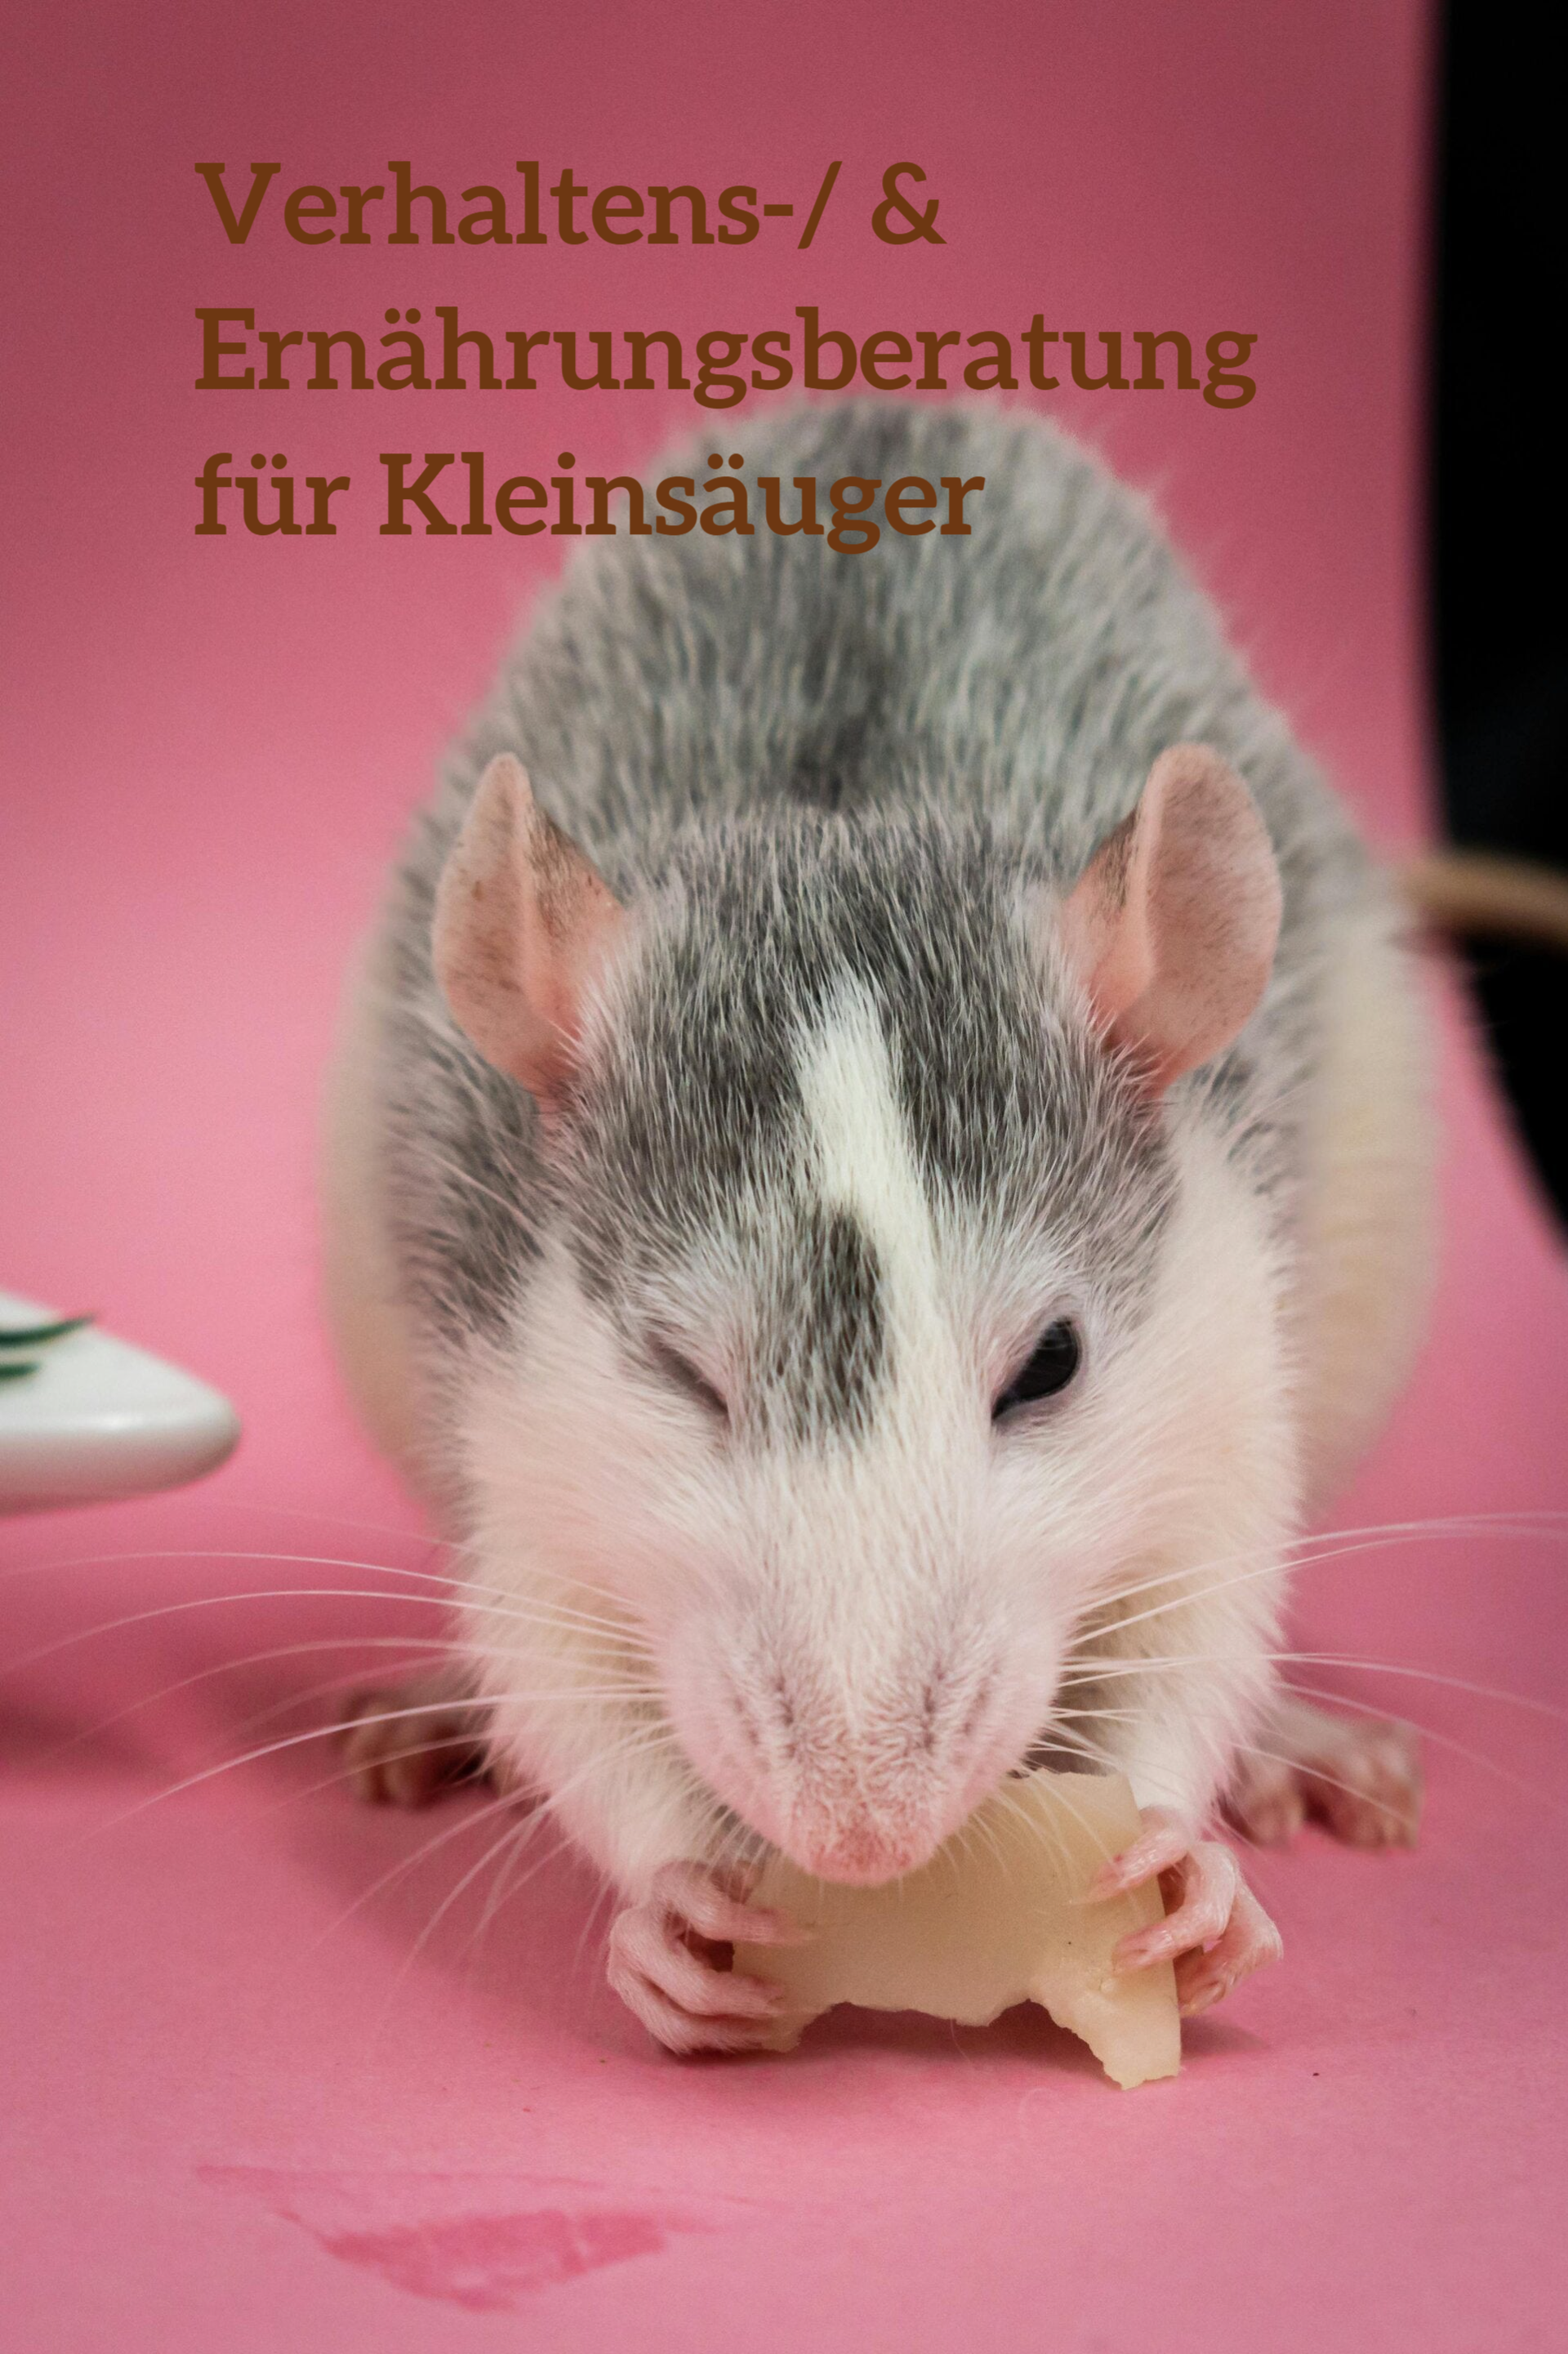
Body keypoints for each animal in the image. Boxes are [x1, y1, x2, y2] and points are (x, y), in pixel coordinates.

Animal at [323, 403, 1433, 2052]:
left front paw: (1195, 1864)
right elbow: (552, 1663)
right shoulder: (511, 1396)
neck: (848, 830)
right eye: (682, 1372)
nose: (861, 1832)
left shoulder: (1223, 1355)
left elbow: (1205, 1612)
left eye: (1050, 1365)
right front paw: (665, 1902)